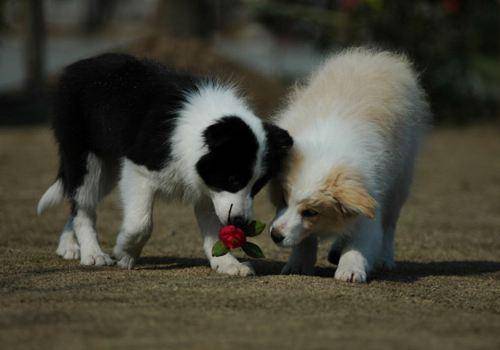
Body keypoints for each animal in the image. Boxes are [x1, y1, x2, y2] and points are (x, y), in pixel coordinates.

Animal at [38, 53, 292, 274]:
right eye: (233, 179)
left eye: (257, 186)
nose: (241, 222)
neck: (201, 128)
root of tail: (77, 66)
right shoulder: (139, 168)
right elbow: (141, 223)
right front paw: (125, 252)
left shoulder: (208, 186)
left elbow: (214, 226)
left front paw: (227, 264)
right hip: (85, 158)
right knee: (83, 203)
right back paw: (92, 253)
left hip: (107, 170)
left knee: (76, 200)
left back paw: (69, 246)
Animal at [270, 47, 430, 282]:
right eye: (283, 199)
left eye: (310, 212)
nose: (275, 235)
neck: (327, 149)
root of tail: (378, 57)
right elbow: (306, 238)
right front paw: (298, 263)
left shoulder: (370, 196)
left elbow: (360, 240)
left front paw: (351, 268)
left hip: (399, 184)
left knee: (389, 226)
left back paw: (384, 259)